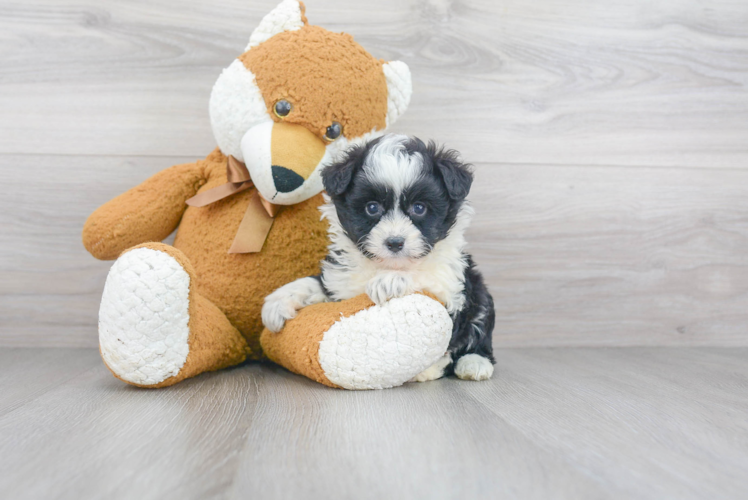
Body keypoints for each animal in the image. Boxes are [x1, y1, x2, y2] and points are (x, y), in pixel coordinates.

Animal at [262, 135, 496, 380]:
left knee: (479, 331)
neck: (383, 265)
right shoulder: (340, 284)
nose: (394, 242)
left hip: (480, 294)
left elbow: (427, 278)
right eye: (372, 207)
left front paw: (390, 281)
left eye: (419, 208)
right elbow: (317, 284)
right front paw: (278, 302)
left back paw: (473, 363)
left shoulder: (452, 285)